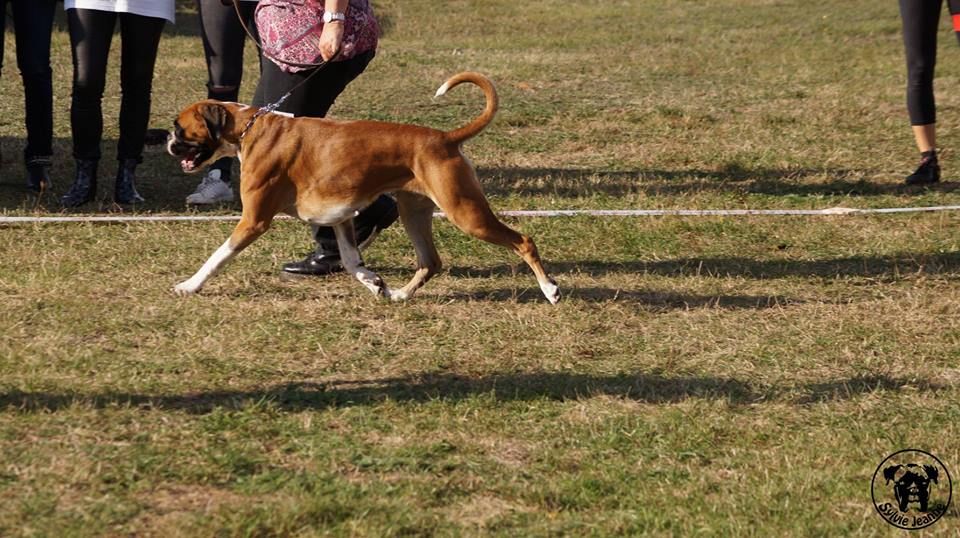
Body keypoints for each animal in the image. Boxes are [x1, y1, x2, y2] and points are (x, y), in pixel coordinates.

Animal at [163, 72, 556, 302]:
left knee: (523, 240)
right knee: (430, 262)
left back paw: (550, 289)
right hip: (414, 212)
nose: (168, 141)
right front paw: (374, 282)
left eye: (180, 128)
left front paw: (189, 285)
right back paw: (400, 296)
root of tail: (445, 138)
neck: (249, 128)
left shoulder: (253, 222)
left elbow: (217, 256)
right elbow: (352, 262)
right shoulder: (339, 219)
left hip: (466, 213)